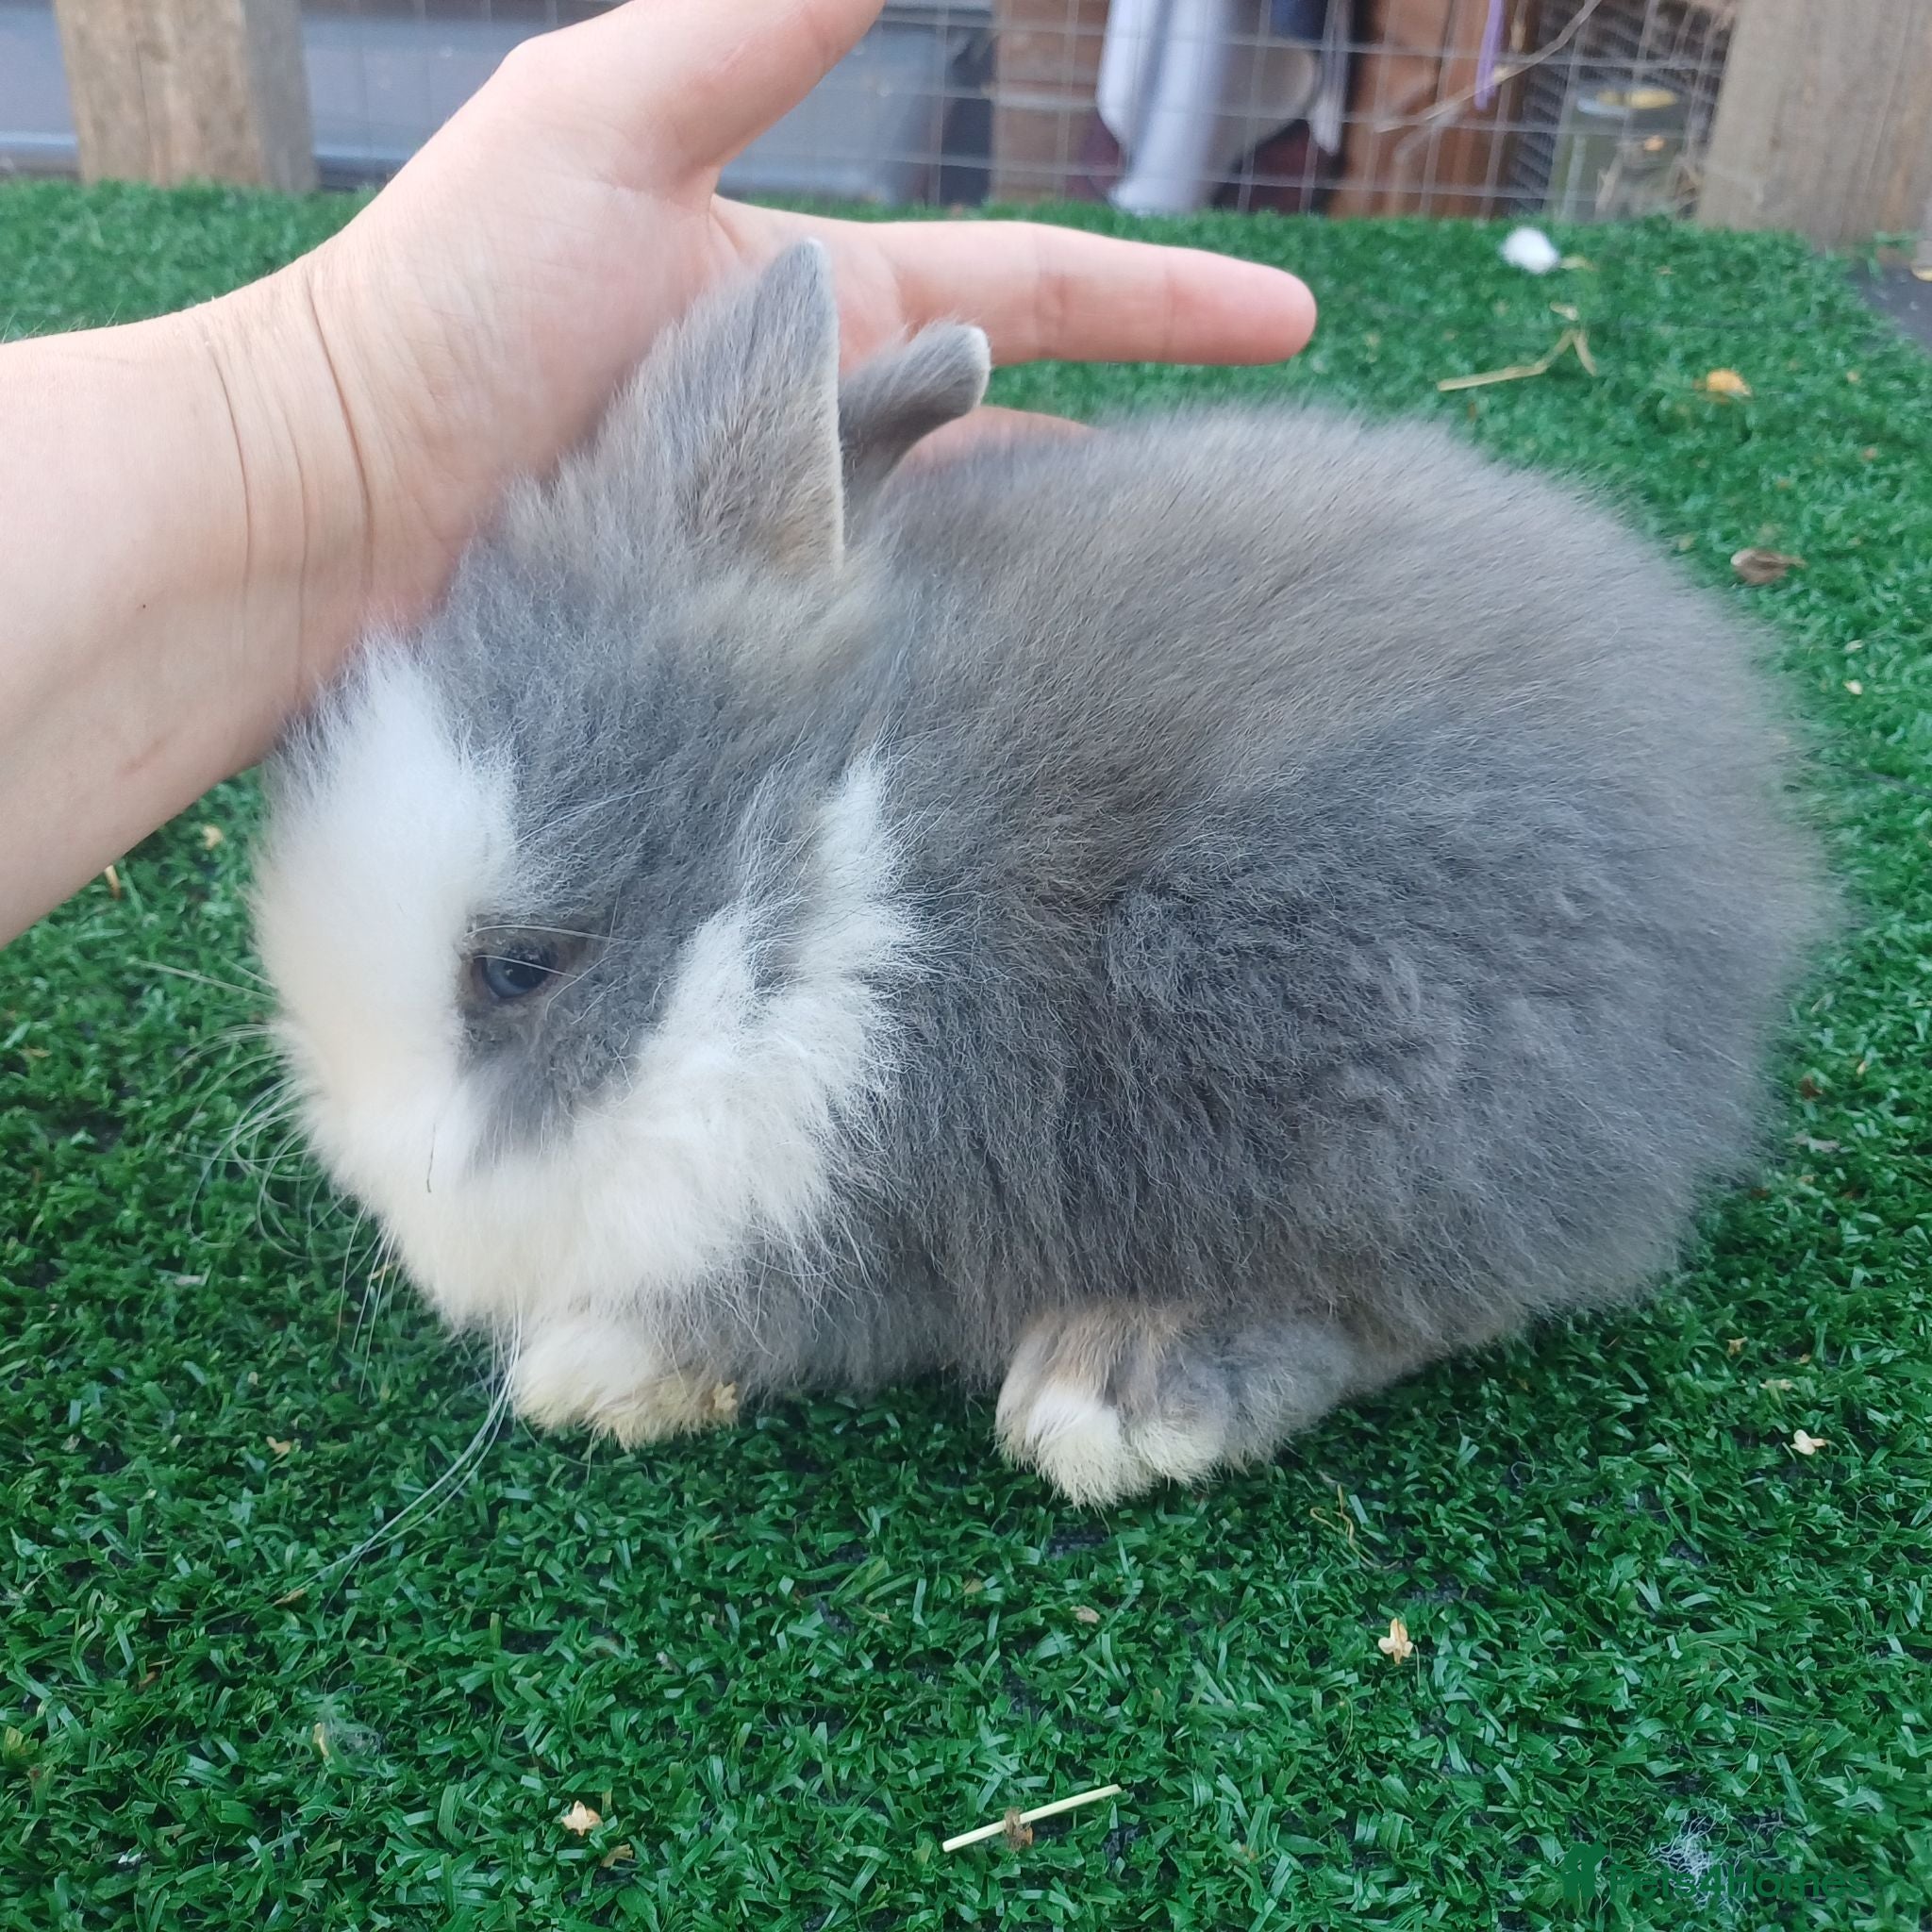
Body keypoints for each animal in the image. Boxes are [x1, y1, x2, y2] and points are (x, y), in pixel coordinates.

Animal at [252, 240, 1831, 1506]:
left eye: (518, 970)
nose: (367, 1170)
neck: (834, 878)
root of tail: (1733, 850)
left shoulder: (877, 1194)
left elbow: (784, 1306)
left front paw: (586, 1367)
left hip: (1352, 1041)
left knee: (1413, 1291)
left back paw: (1119, 1386)